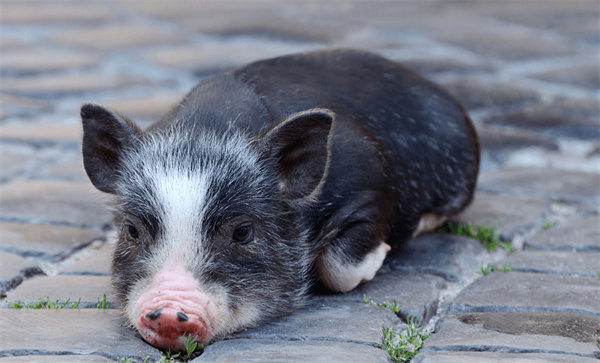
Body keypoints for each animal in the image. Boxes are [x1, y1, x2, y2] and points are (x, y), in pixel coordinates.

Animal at [82, 49, 480, 352]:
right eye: (132, 230)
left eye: (243, 232)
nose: (167, 312)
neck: (207, 131)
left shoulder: (372, 191)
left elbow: (340, 268)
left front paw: (382, 252)